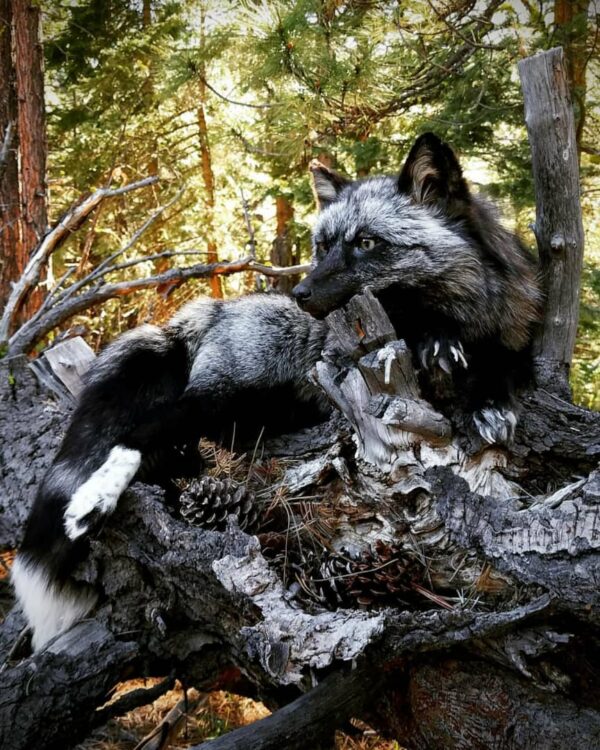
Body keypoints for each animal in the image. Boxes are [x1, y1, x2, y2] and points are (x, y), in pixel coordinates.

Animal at [12, 133, 541, 650]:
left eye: (367, 243)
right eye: (322, 245)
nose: (300, 295)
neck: (469, 310)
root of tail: (208, 312)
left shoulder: (516, 342)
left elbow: (502, 370)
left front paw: (488, 404)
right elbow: (417, 330)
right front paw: (437, 342)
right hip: (211, 400)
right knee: (137, 435)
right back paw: (94, 501)